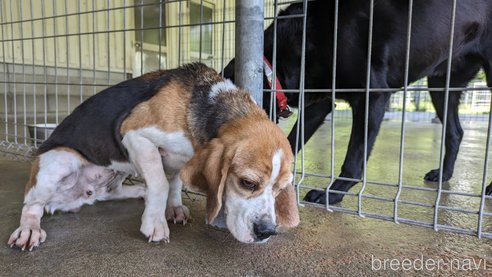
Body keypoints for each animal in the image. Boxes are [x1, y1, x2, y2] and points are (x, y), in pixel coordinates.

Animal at [8, 62, 300, 250]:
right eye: (247, 183)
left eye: (280, 188)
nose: (266, 232)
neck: (209, 103)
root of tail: (76, 199)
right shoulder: (135, 135)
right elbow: (160, 183)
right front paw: (156, 223)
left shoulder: (180, 161)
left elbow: (174, 183)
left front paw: (174, 207)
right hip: (59, 161)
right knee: (32, 204)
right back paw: (29, 229)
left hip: (118, 170)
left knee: (107, 193)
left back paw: (138, 192)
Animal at [225, 0, 492, 203]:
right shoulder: (320, 103)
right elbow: (291, 142)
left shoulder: (372, 96)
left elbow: (353, 159)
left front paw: (332, 194)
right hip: (440, 84)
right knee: (455, 132)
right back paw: (444, 174)